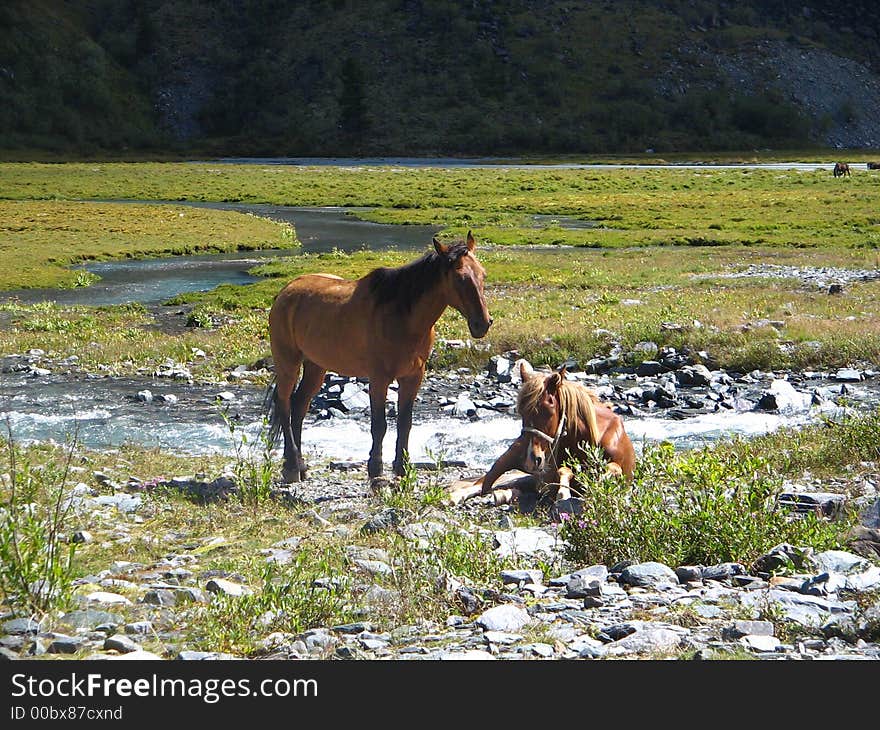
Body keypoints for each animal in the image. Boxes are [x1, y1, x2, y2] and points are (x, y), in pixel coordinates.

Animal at [264, 233, 492, 480]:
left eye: (483, 274)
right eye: (460, 278)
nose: (482, 324)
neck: (403, 318)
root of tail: (286, 291)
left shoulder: (413, 376)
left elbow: (404, 423)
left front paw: (402, 467)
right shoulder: (379, 378)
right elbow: (379, 425)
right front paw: (376, 469)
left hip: (315, 365)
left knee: (299, 405)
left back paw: (301, 465)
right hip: (288, 363)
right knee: (285, 404)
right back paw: (291, 466)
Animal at [450, 360, 636, 506]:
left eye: (549, 409)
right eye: (522, 411)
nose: (533, 459)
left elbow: (613, 469)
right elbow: (564, 471)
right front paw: (564, 493)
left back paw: (505, 494)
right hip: (509, 460)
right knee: (482, 484)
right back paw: (457, 496)